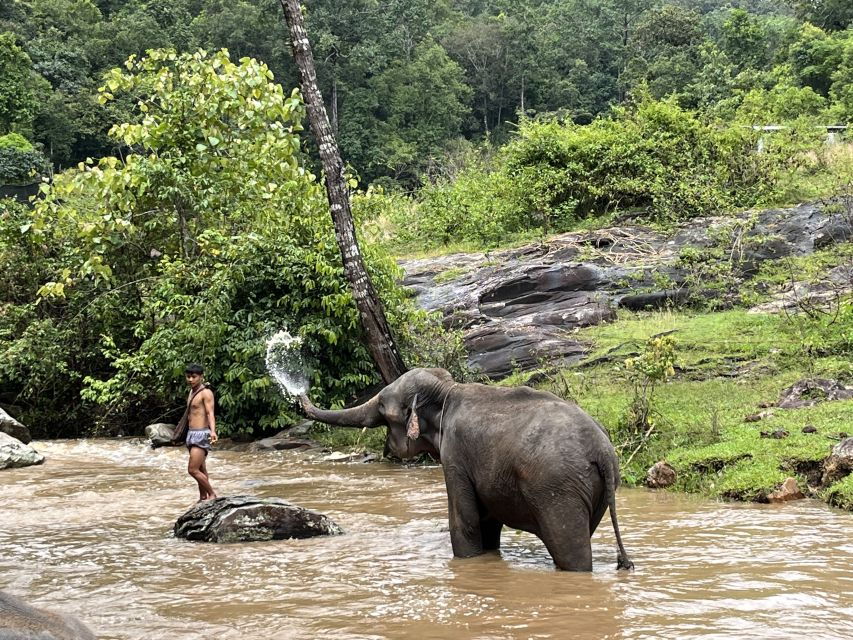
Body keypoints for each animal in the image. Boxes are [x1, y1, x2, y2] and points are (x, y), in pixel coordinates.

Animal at [299, 367, 634, 572]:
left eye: (382, 408)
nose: (299, 394)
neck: (447, 389)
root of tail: (603, 451)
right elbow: (488, 523)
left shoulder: (456, 454)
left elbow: (467, 521)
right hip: (595, 490)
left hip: (558, 490)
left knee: (570, 551)